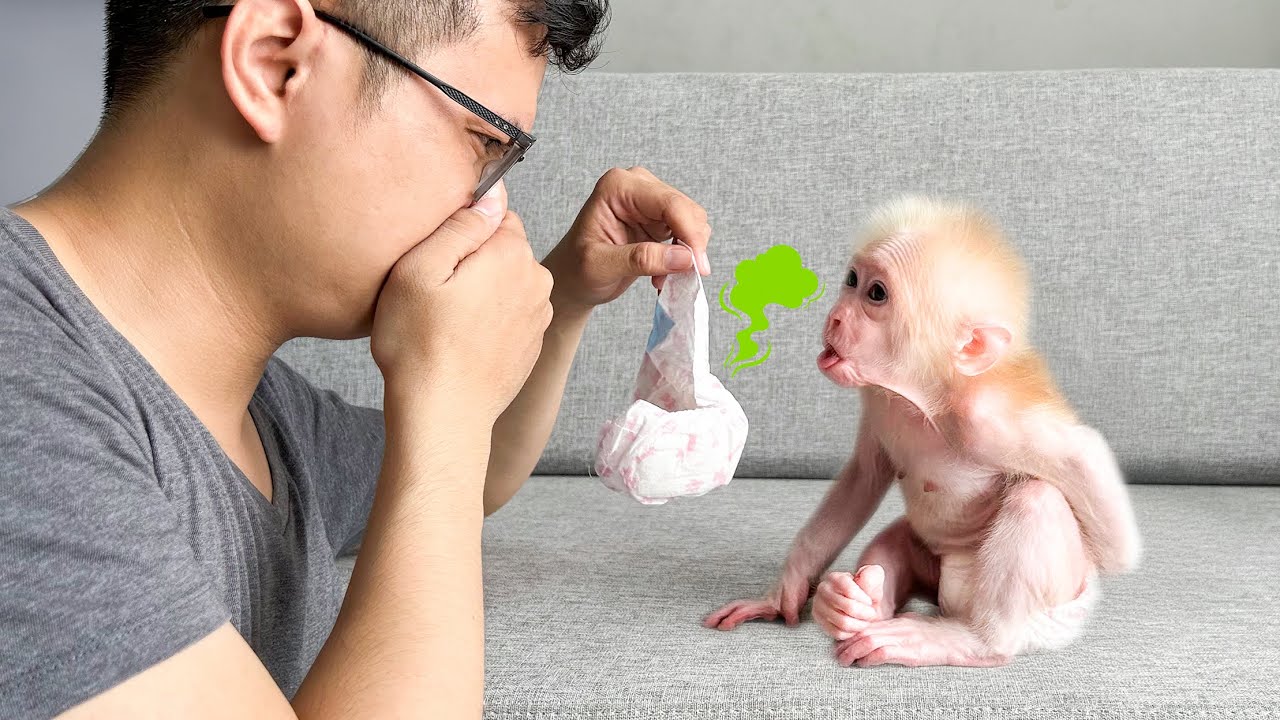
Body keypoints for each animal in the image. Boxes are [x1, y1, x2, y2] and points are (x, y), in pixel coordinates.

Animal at [704, 196, 1141, 668]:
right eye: (852, 281)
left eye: (877, 294)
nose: (835, 317)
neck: (925, 399)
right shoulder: (878, 399)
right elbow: (863, 476)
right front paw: (789, 589)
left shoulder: (984, 419)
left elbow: (1093, 477)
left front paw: (1113, 558)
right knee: (897, 546)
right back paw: (850, 606)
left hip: (1049, 612)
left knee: (1037, 497)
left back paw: (972, 640)